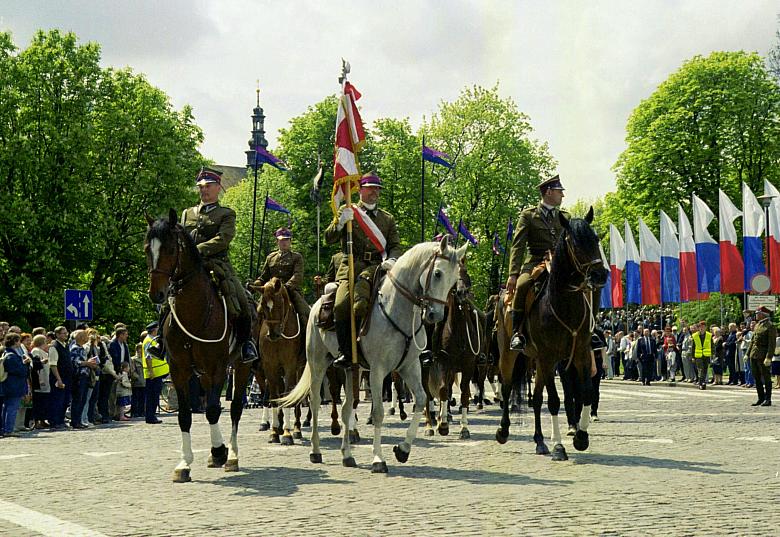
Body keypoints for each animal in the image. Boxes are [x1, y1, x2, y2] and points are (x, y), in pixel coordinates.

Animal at [144, 209, 253, 482]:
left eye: (170, 248)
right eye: (147, 249)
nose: (157, 294)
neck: (194, 310)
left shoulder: (218, 368)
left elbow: (213, 410)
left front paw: (219, 451)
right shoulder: (180, 370)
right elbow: (184, 415)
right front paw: (184, 463)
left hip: (241, 367)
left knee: (235, 408)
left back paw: (231, 456)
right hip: (202, 373)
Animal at [256, 276, 304, 444]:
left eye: (279, 304)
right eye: (263, 306)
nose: (273, 334)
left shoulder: (290, 366)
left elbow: (288, 395)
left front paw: (287, 434)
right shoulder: (269, 367)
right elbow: (274, 398)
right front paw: (274, 432)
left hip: (301, 369)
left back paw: (297, 429)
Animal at [278, 238, 466, 468]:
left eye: (454, 279)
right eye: (438, 273)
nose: (435, 315)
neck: (397, 310)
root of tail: (318, 303)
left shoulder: (410, 366)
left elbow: (421, 400)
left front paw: (403, 450)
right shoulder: (378, 370)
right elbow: (378, 413)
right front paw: (378, 459)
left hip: (352, 370)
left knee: (346, 408)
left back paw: (347, 455)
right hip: (318, 364)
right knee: (314, 403)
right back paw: (315, 451)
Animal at [496, 207, 608, 458]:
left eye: (596, 239)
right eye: (575, 242)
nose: (600, 275)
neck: (564, 303)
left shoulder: (581, 354)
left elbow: (585, 393)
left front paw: (581, 437)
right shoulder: (549, 357)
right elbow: (555, 401)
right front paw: (559, 445)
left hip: (537, 361)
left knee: (537, 399)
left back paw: (539, 441)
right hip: (510, 353)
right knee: (506, 388)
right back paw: (503, 431)